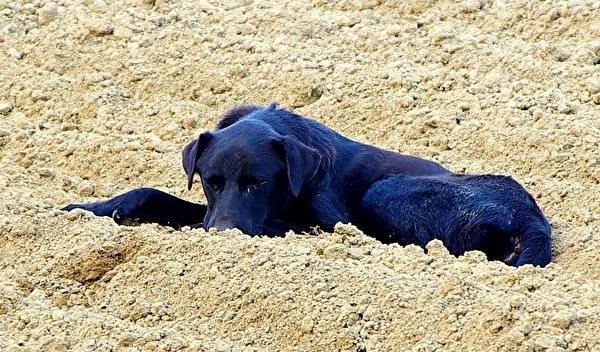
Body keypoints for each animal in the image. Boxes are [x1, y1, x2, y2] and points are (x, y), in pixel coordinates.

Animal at [62, 103, 552, 266]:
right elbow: (151, 194)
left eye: (258, 183)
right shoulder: (210, 210)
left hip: (386, 192)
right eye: (209, 182)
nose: (222, 235)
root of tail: (534, 219)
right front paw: (87, 209)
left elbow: (284, 226)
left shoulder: (327, 223)